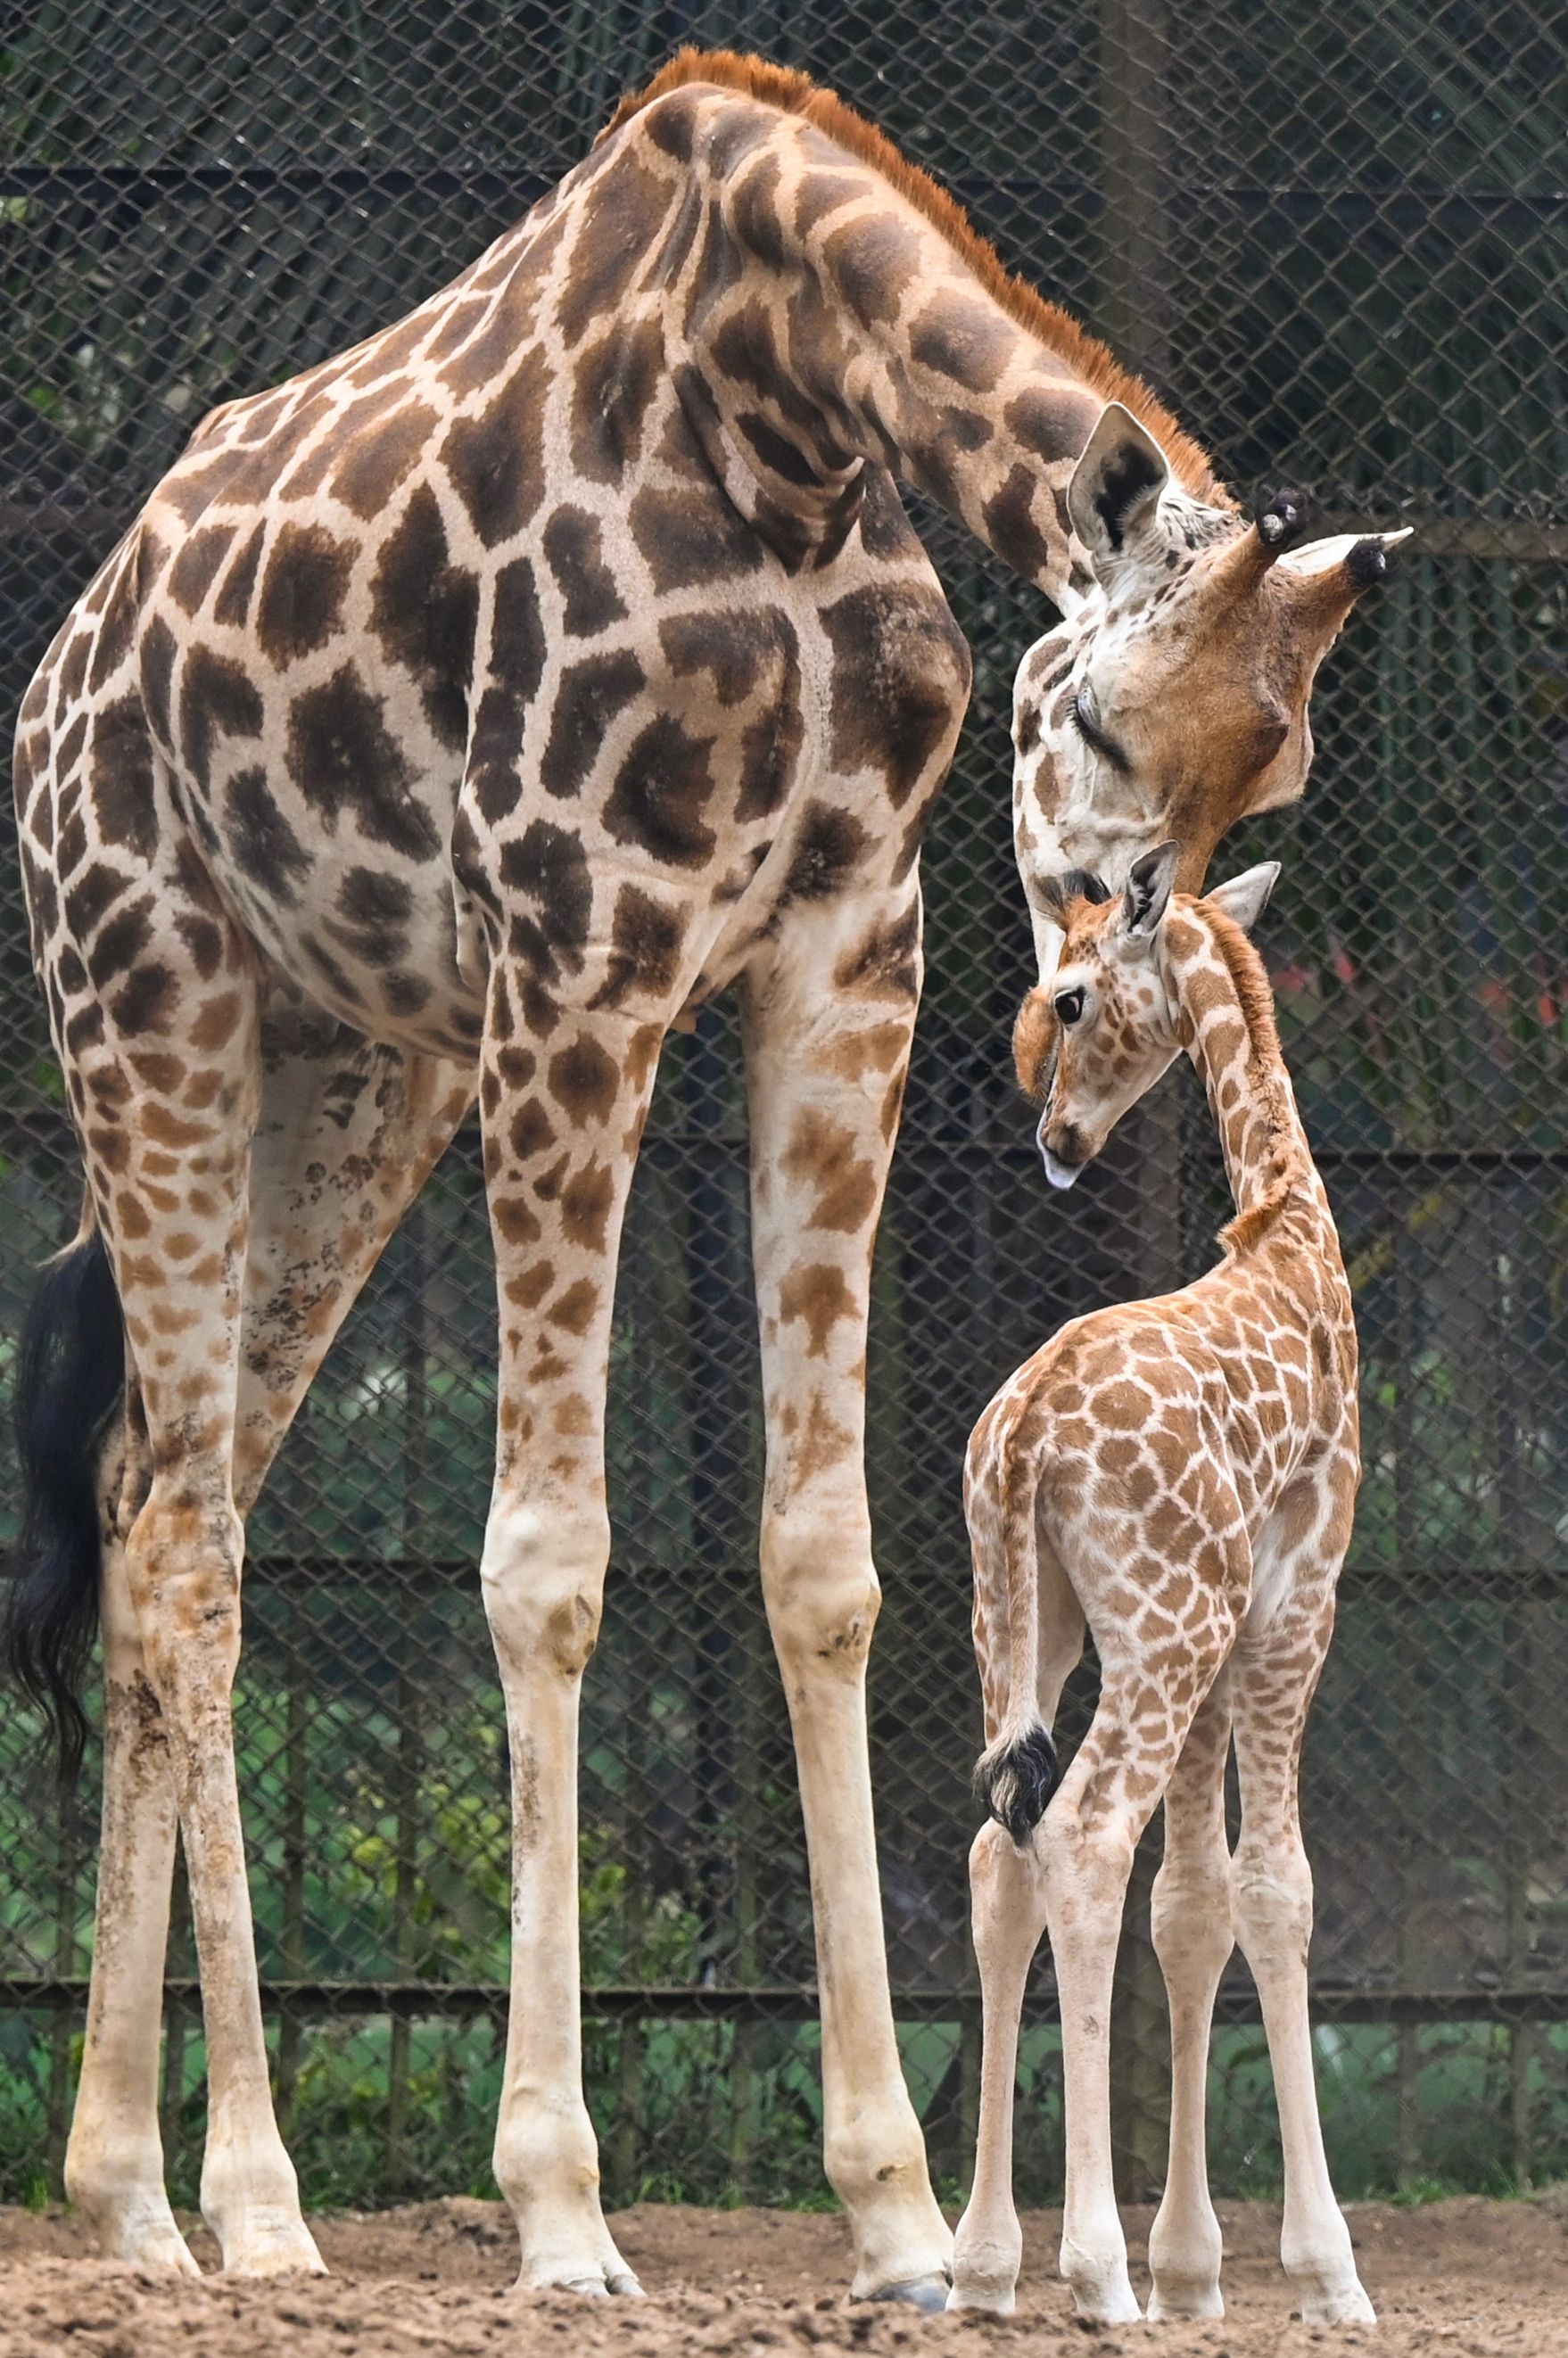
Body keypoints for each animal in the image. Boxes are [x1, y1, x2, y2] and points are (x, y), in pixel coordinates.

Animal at [943, 844, 1367, 2320]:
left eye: (1068, 996)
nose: (1056, 1142)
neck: (1289, 1235)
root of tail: (1023, 1437)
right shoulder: (1292, 1608)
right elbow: (1273, 1889)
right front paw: (1320, 2271)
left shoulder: (1220, 1636)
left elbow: (1189, 1909)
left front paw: (1195, 2271)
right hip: (1155, 1633)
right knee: (1076, 1839)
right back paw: (1090, 2271)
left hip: (1028, 1627)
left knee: (998, 1851)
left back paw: (981, 2268)